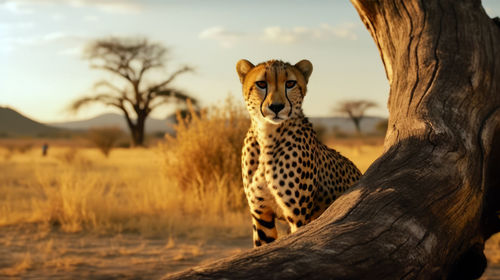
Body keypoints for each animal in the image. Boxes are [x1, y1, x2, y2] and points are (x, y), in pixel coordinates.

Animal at [236, 59, 362, 247]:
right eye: (261, 84)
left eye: (290, 84)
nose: (276, 106)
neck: (267, 135)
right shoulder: (261, 215)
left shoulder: (298, 217)